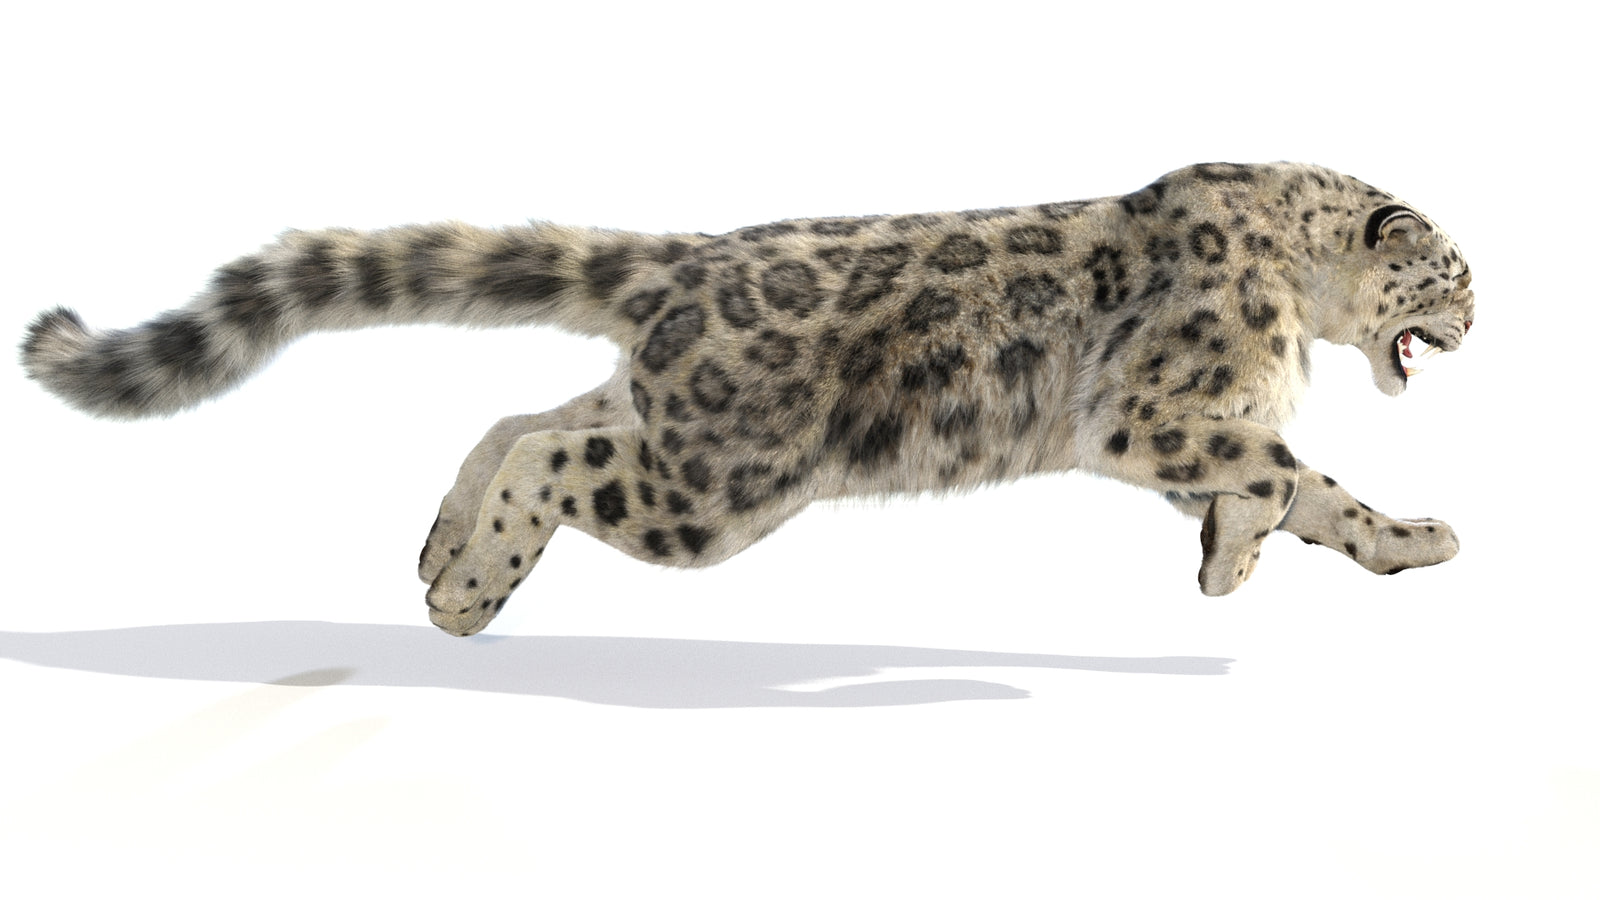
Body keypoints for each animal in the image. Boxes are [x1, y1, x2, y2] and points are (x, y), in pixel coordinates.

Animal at [21, 161, 1476, 637]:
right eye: (1455, 271)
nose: (1476, 323)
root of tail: (689, 261)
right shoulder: (1152, 412)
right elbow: (1288, 468)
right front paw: (1256, 554)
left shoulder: (1188, 434)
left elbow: (1296, 491)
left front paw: (1384, 544)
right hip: (715, 483)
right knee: (554, 457)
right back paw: (464, 597)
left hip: (665, 424)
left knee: (521, 420)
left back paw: (437, 548)